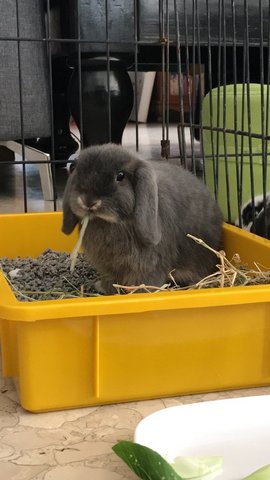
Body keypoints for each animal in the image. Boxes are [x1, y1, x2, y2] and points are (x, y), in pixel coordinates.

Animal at [61, 143, 224, 292]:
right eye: (77, 170)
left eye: (120, 176)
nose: (88, 201)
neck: (109, 223)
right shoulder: (108, 268)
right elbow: (110, 280)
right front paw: (104, 289)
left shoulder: (147, 265)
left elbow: (145, 281)